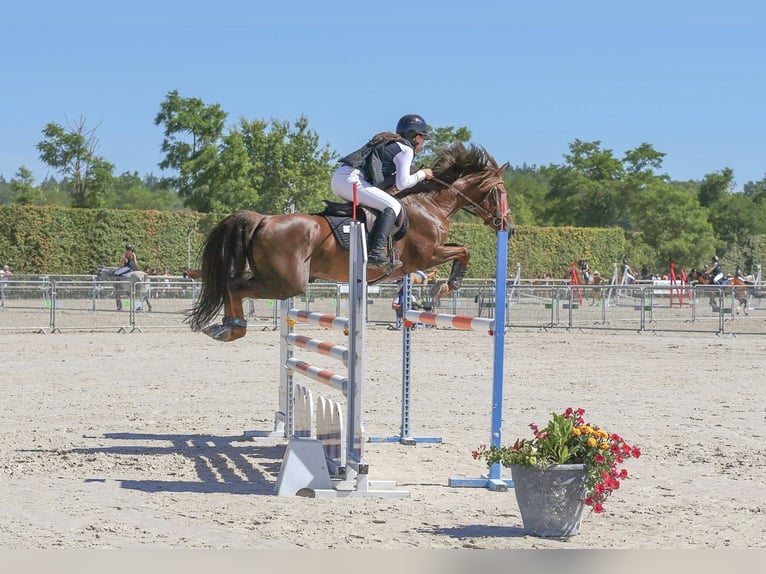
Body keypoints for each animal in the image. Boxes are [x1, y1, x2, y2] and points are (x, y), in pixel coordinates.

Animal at [190, 143, 516, 342]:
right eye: (500, 192)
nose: (509, 227)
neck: (430, 203)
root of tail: (263, 219)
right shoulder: (426, 256)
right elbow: (464, 250)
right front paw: (447, 286)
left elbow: (462, 249)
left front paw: (443, 287)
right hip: (286, 283)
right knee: (235, 285)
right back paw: (232, 328)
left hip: (272, 276)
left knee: (232, 282)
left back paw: (226, 327)